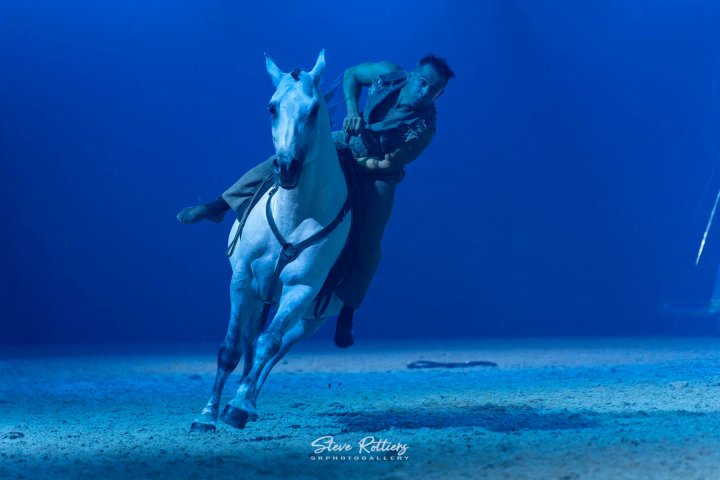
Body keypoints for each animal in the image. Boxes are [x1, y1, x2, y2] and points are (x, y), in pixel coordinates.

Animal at [190, 50, 352, 432]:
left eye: (314, 109)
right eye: (272, 107)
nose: (287, 167)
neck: (294, 219)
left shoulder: (301, 288)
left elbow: (269, 344)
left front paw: (237, 407)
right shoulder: (242, 281)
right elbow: (230, 349)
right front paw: (207, 414)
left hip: (310, 318)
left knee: (276, 350)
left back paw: (247, 402)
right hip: (259, 295)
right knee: (248, 342)